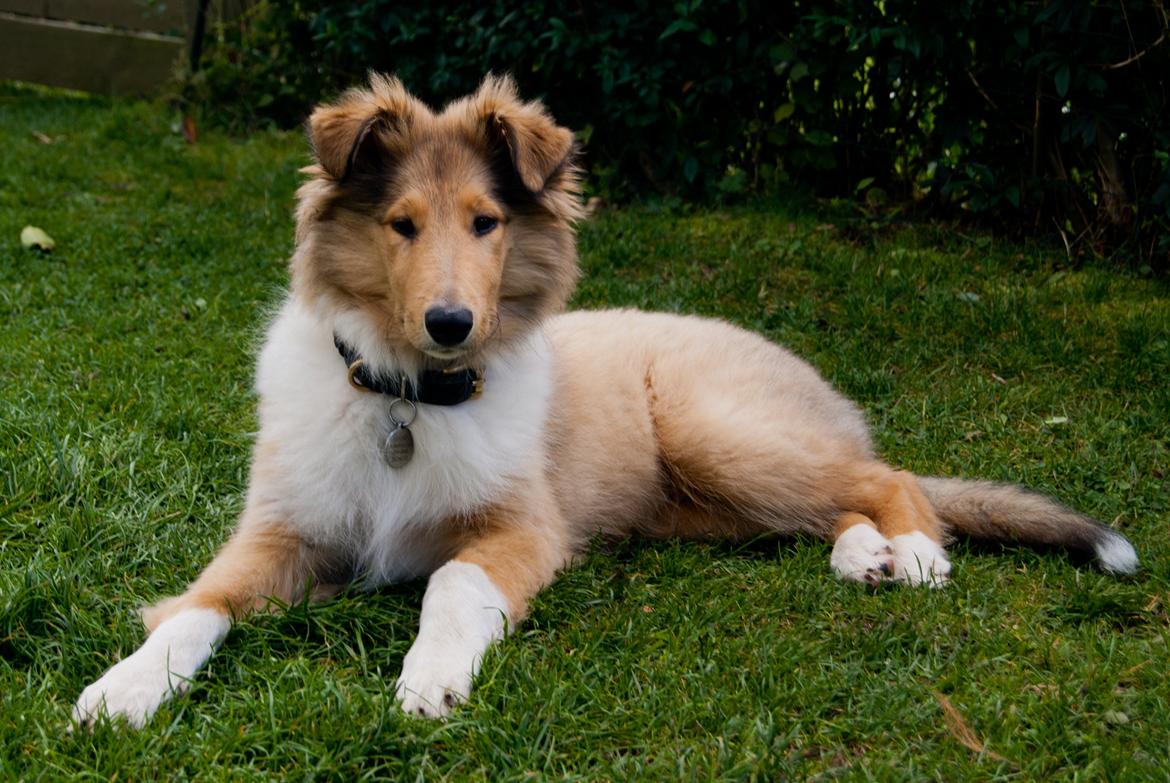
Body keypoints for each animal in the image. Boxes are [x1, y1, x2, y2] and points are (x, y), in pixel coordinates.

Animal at [68, 74, 1137, 725]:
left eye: (487, 223)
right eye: (401, 224)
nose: (451, 322)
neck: (411, 399)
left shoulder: (524, 528)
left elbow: (450, 582)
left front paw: (431, 676)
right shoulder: (280, 531)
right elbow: (198, 605)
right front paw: (124, 689)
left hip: (715, 430)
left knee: (888, 472)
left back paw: (912, 551)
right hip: (710, 500)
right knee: (830, 504)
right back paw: (862, 555)